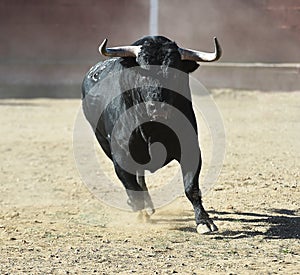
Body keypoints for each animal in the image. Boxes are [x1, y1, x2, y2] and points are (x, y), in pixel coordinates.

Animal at [81, 34, 221, 233]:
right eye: (142, 71)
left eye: (174, 72)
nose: (158, 107)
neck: (153, 129)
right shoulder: (120, 156)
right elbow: (131, 186)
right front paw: (140, 213)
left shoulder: (191, 149)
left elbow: (191, 187)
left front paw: (204, 221)